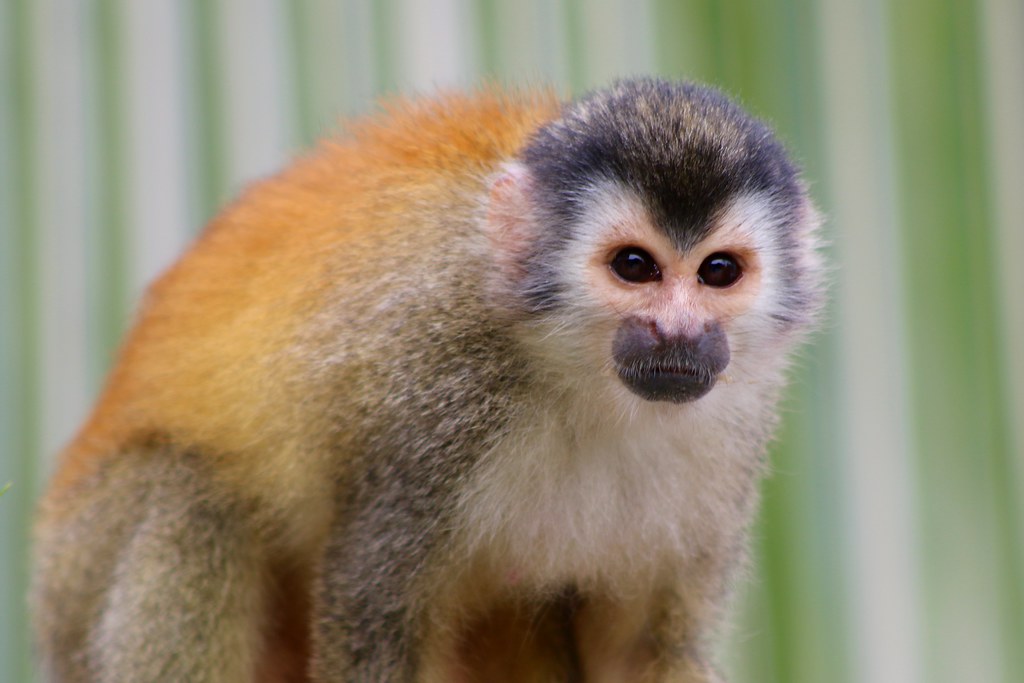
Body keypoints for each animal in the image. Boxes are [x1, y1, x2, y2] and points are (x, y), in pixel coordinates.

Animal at [31, 78, 825, 683]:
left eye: (718, 271)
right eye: (635, 266)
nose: (678, 333)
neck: (584, 381)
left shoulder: (735, 437)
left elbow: (637, 653)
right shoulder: (436, 393)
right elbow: (372, 609)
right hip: (78, 571)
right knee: (190, 495)